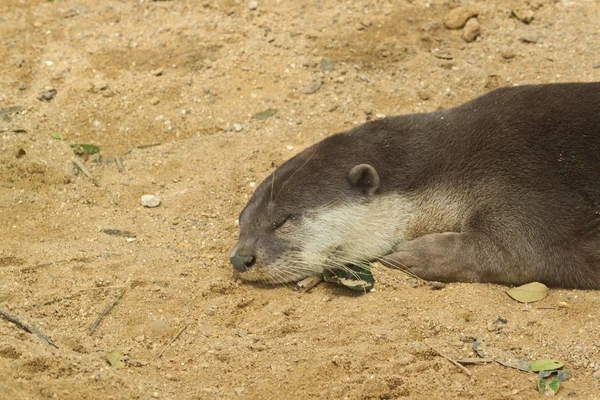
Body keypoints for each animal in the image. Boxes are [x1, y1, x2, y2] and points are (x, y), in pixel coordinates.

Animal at [230, 82, 600, 288]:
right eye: (241, 223)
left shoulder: (526, 187)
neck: (454, 166)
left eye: (282, 220)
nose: (240, 259)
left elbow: (518, 252)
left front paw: (415, 254)